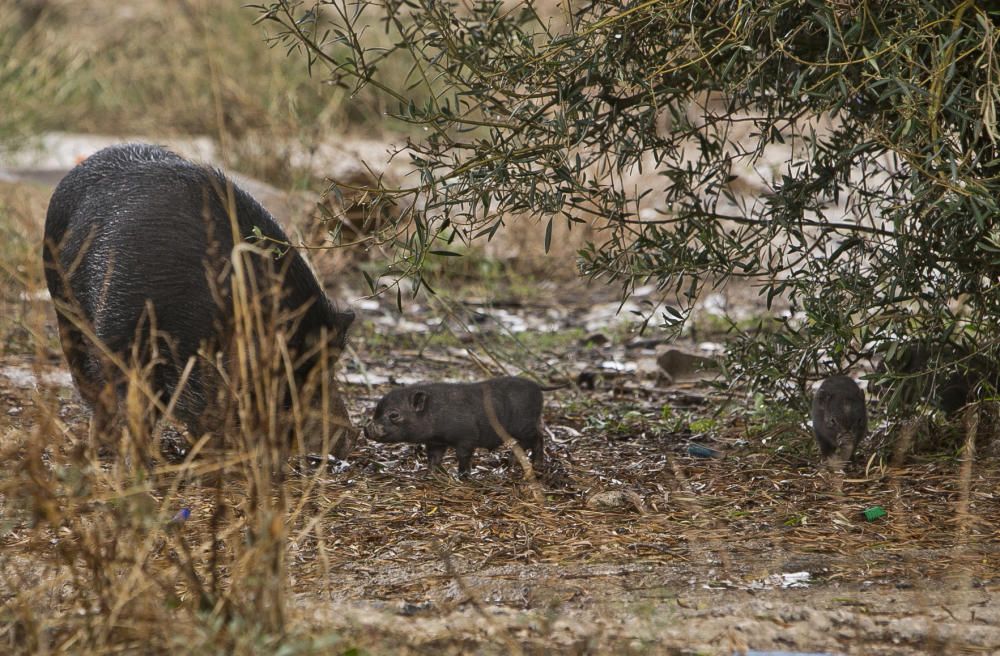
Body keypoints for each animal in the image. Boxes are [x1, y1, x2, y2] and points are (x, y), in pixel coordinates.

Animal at [364, 376, 544, 474]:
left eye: (394, 415)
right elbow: (433, 458)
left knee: (537, 438)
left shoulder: (467, 438)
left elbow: (463, 456)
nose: (366, 429)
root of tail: (538, 386)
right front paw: (431, 474)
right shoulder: (435, 442)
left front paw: (462, 476)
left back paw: (528, 463)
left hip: (524, 425)